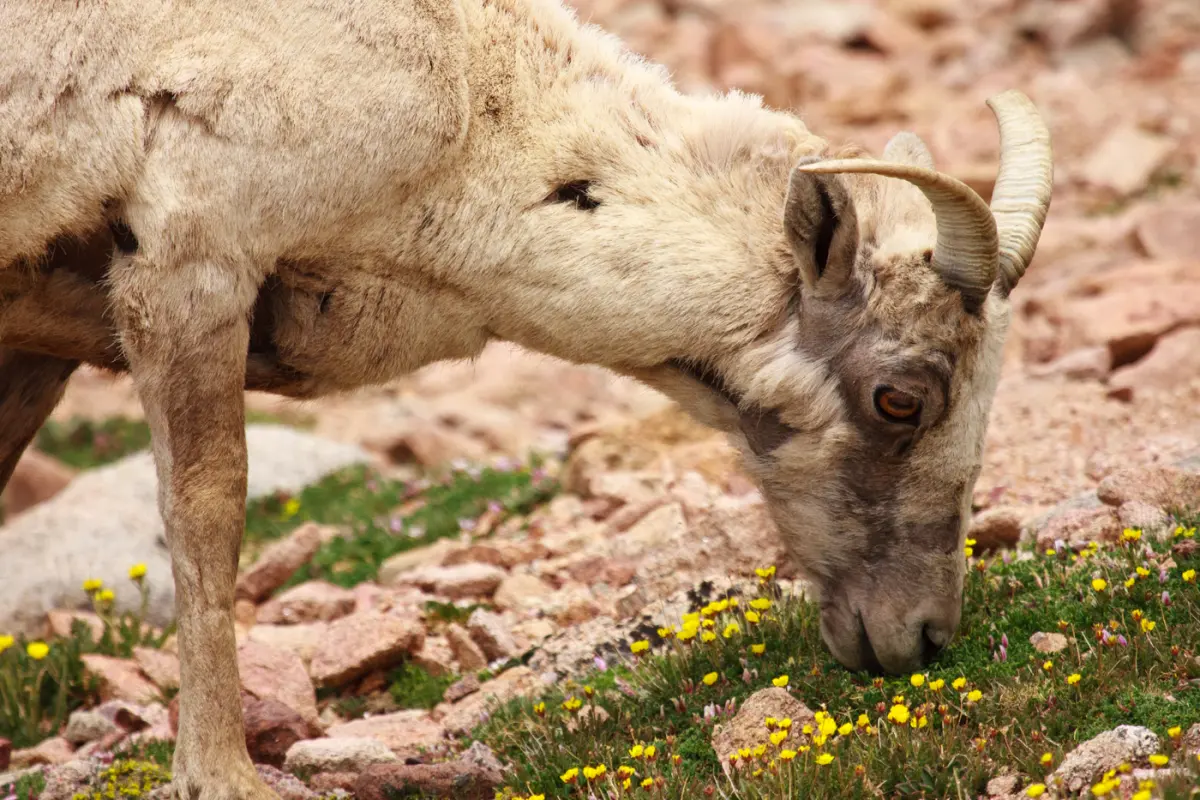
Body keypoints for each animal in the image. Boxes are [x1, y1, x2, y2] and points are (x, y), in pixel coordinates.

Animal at [0, 0, 1052, 796]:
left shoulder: (35, 346)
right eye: (900, 400)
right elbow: (208, 519)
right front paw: (220, 777)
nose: (919, 638)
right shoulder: (190, 269)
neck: (472, 116)